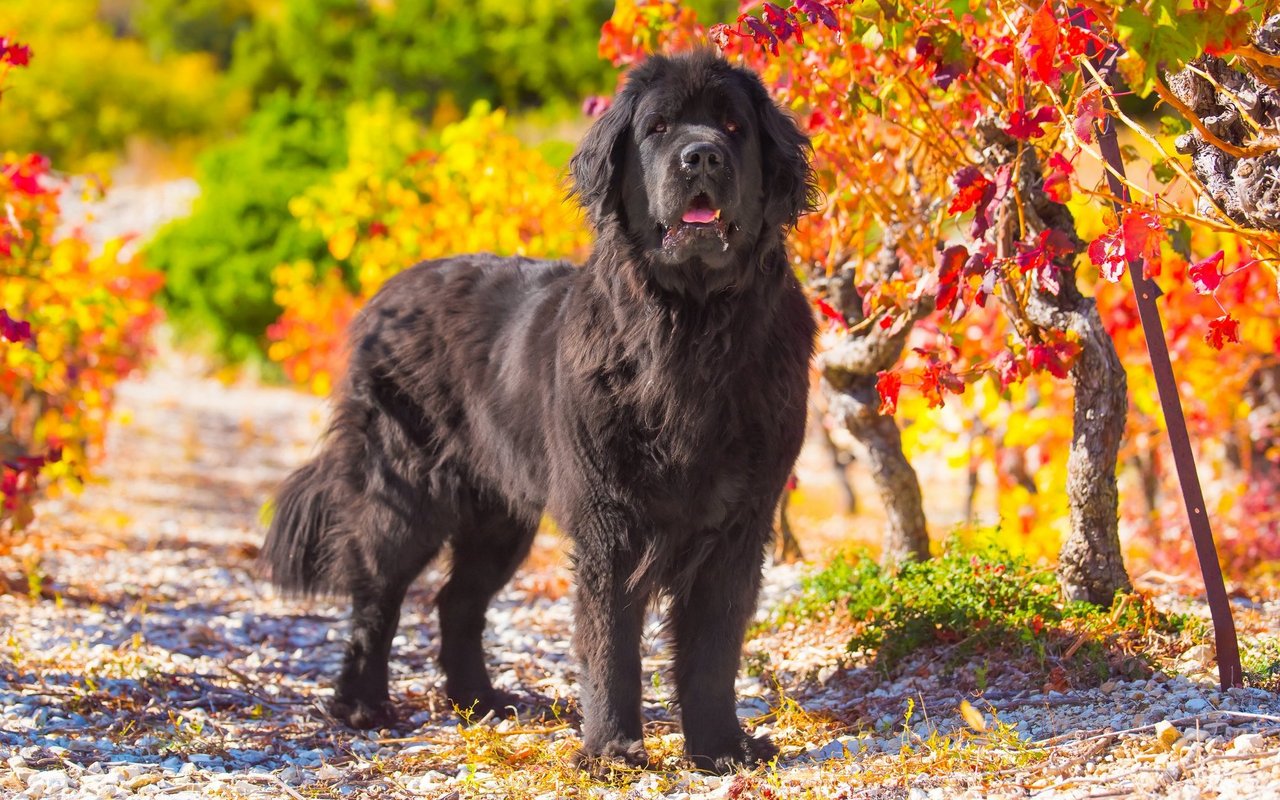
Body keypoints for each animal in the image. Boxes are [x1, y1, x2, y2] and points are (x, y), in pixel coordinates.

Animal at [263, 51, 814, 773]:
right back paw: (361, 705)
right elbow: (610, 643)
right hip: (402, 490)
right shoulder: (610, 519)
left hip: (499, 513)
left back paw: (480, 703)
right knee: (376, 597)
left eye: (732, 126)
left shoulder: (738, 521)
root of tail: (389, 291)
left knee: (457, 601)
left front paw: (720, 748)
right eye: (659, 127)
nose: (701, 156)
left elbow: (714, 648)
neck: (688, 331)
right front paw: (613, 751)